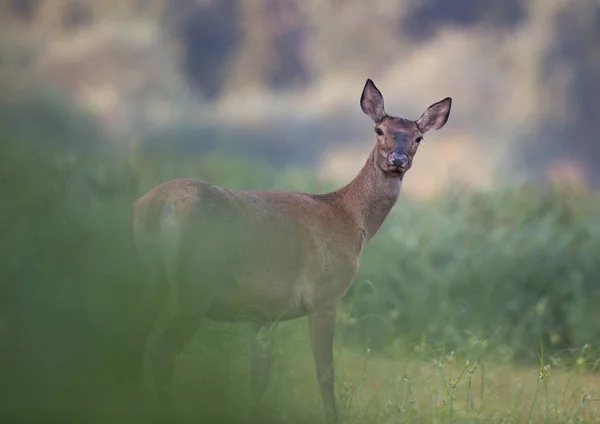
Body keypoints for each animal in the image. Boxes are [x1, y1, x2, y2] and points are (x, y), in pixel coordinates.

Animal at [130, 78, 450, 420]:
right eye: (379, 130)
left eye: (418, 137)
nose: (398, 159)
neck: (352, 218)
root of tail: (155, 206)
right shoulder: (325, 294)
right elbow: (326, 374)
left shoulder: (263, 312)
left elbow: (259, 378)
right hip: (196, 281)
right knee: (162, 350)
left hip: (149, 274)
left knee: (134, 338)